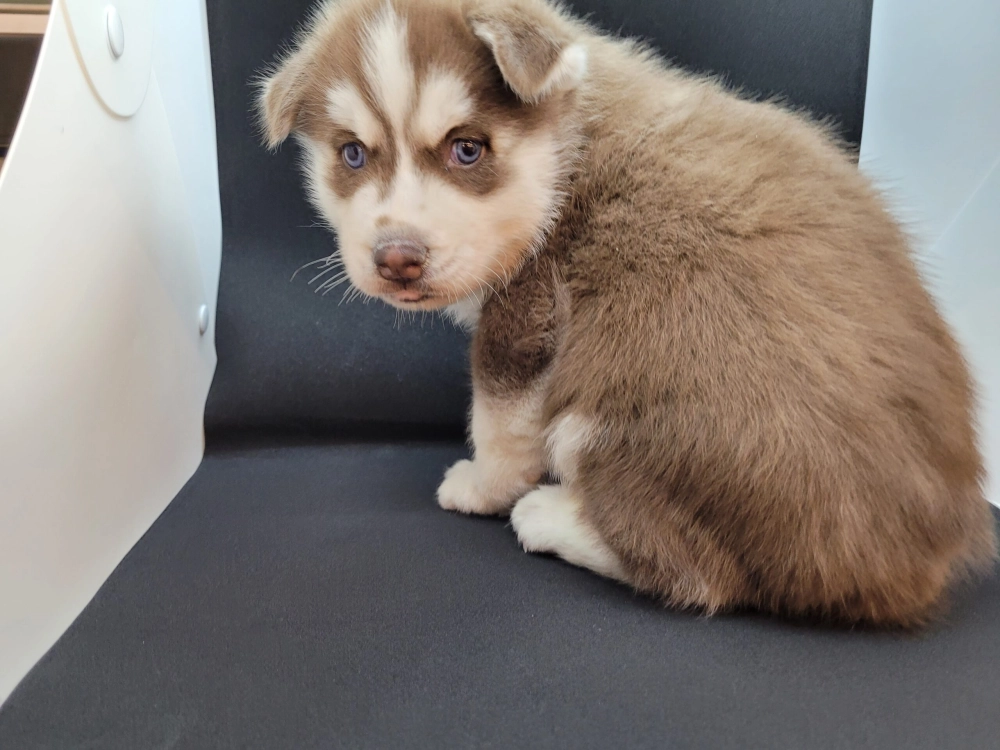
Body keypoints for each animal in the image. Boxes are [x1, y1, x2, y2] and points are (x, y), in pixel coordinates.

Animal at [258, 0, 996, 627]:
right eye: (352, 154)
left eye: (467, 148)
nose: (397, 259)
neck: (568, 147)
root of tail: (904, 567)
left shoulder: (529, 315)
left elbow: (499, 425)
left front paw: (483, 487)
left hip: (624, 405)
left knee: (699, 576)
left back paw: (550, 517)